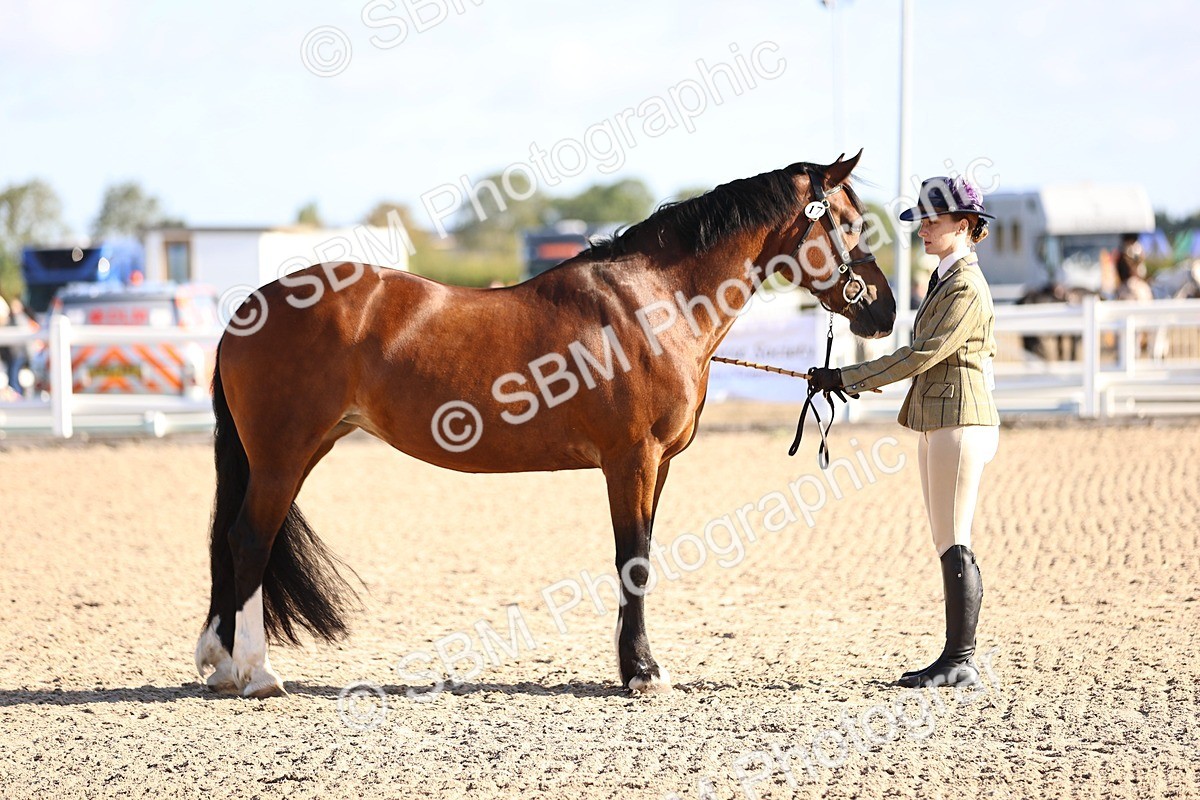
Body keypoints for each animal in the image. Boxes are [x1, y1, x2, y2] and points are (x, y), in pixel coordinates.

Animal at [194, 151, 897, 698]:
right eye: (850, 223)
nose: (884, 311)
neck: (652, 305)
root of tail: (249, 309)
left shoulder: (658, 465)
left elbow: (641, 554)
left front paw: (633, 663)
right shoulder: (631, 459)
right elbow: (633, 559)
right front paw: (642, 672)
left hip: (301, 450)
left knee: (233, 539)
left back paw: (221, 663)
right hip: (284, 455)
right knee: (249, 540)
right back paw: (257, 674)